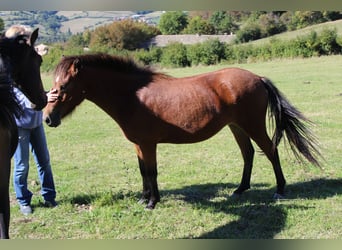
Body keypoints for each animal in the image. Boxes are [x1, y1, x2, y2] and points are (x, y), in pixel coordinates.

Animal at [43, 53, 320, 210]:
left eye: (63, 86)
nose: (47, 118)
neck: (132, 95)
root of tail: (258, 78)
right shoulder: (138, 144)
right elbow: (143, 171)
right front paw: (143, 199)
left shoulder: (148, 144)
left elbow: (152, 172)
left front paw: (152, 202)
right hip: (237, 126)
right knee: (248, 154)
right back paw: (240, 190)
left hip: (252, 125)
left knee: (270, 151)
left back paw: (280, 189)